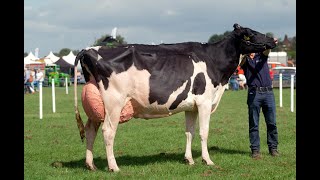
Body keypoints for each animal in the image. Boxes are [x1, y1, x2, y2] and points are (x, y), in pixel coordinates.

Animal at [73, 23, 278, 172]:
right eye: (251, 34)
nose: (273, 39)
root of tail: (88, 49)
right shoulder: (204, 102)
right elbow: (204, 132)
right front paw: (207, 160)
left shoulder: (191, 106)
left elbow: (190, 132)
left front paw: (189, 160)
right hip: (114, 102)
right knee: (108, 131)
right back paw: (113, 167)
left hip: (97, 106)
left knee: (90, 130)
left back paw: (90, 165)